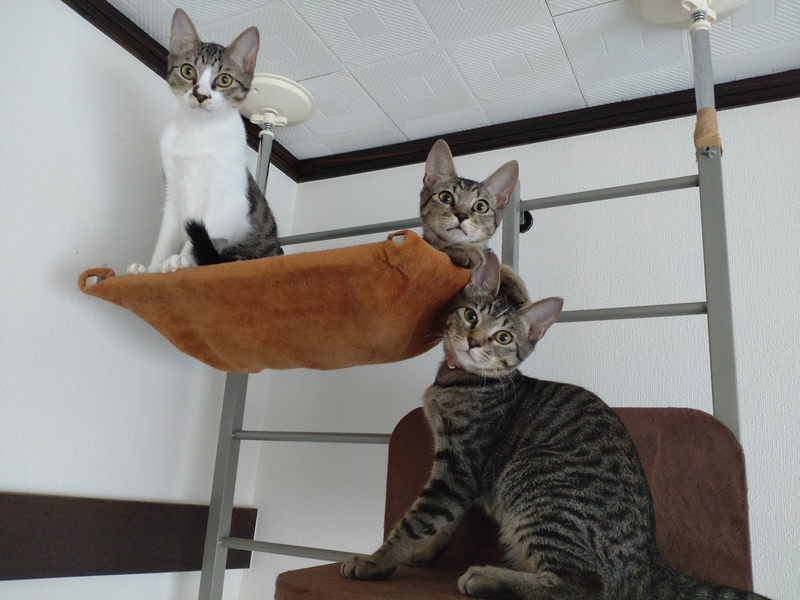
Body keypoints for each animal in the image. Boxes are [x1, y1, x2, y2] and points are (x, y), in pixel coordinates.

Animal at [128, 8, 281, 275]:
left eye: (225, 80)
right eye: (188, 71)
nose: (201, 95)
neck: (198, 130)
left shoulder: (230, 201)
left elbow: (203, 233)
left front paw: (182, 260)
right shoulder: (173, 191)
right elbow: (166, 236)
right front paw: (151, 270)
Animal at [341, 253, 771, 600]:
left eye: (503, 337)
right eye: (471, 315)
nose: (473, 340)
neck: (459, 381)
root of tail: (651, 562)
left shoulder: (460, 466)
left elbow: (418, 519)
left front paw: (376, 561)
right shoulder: (461, 474)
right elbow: (444, 521)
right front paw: (423, 553)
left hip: (534, 479)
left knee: (584, 585)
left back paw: (486, 578)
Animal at [420, 139, 529, 307]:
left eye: (481, 206)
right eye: (445, 197)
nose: (461, 215)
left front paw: (517, 285)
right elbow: (437, 246)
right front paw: (463, 249)